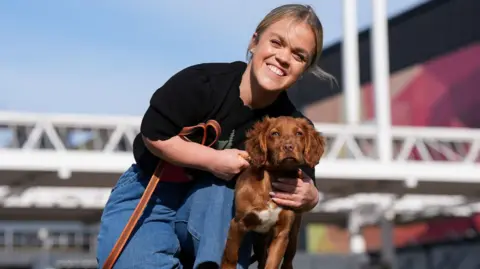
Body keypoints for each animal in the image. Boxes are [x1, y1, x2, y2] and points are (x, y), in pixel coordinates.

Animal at [221, 115, 326, 268]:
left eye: (299, 133)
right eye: (275, 133)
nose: (289, 147)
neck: (274, 177)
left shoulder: (282, 233)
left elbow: (272, 263)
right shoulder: (238, 224)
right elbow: (230, 257)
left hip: (292, 237)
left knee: (287, 262)